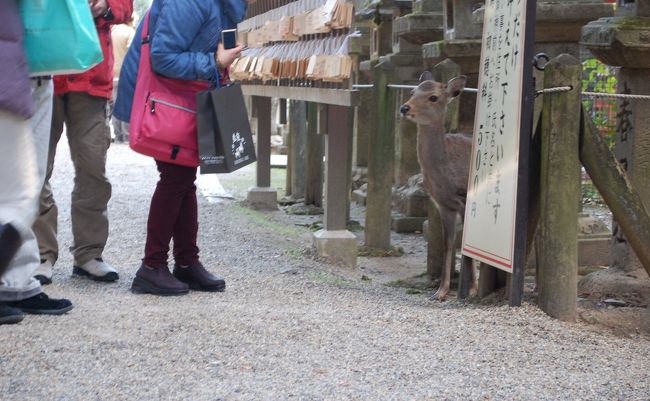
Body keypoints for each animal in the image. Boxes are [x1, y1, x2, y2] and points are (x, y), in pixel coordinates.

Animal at [400, 72, 477, 301]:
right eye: (412, 91)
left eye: (433, 97)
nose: (404, 108)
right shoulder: (444, 204)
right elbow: (448, 243)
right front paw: (440, 291)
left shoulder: (464, 199)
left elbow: (465, 244)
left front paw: (470, 290)